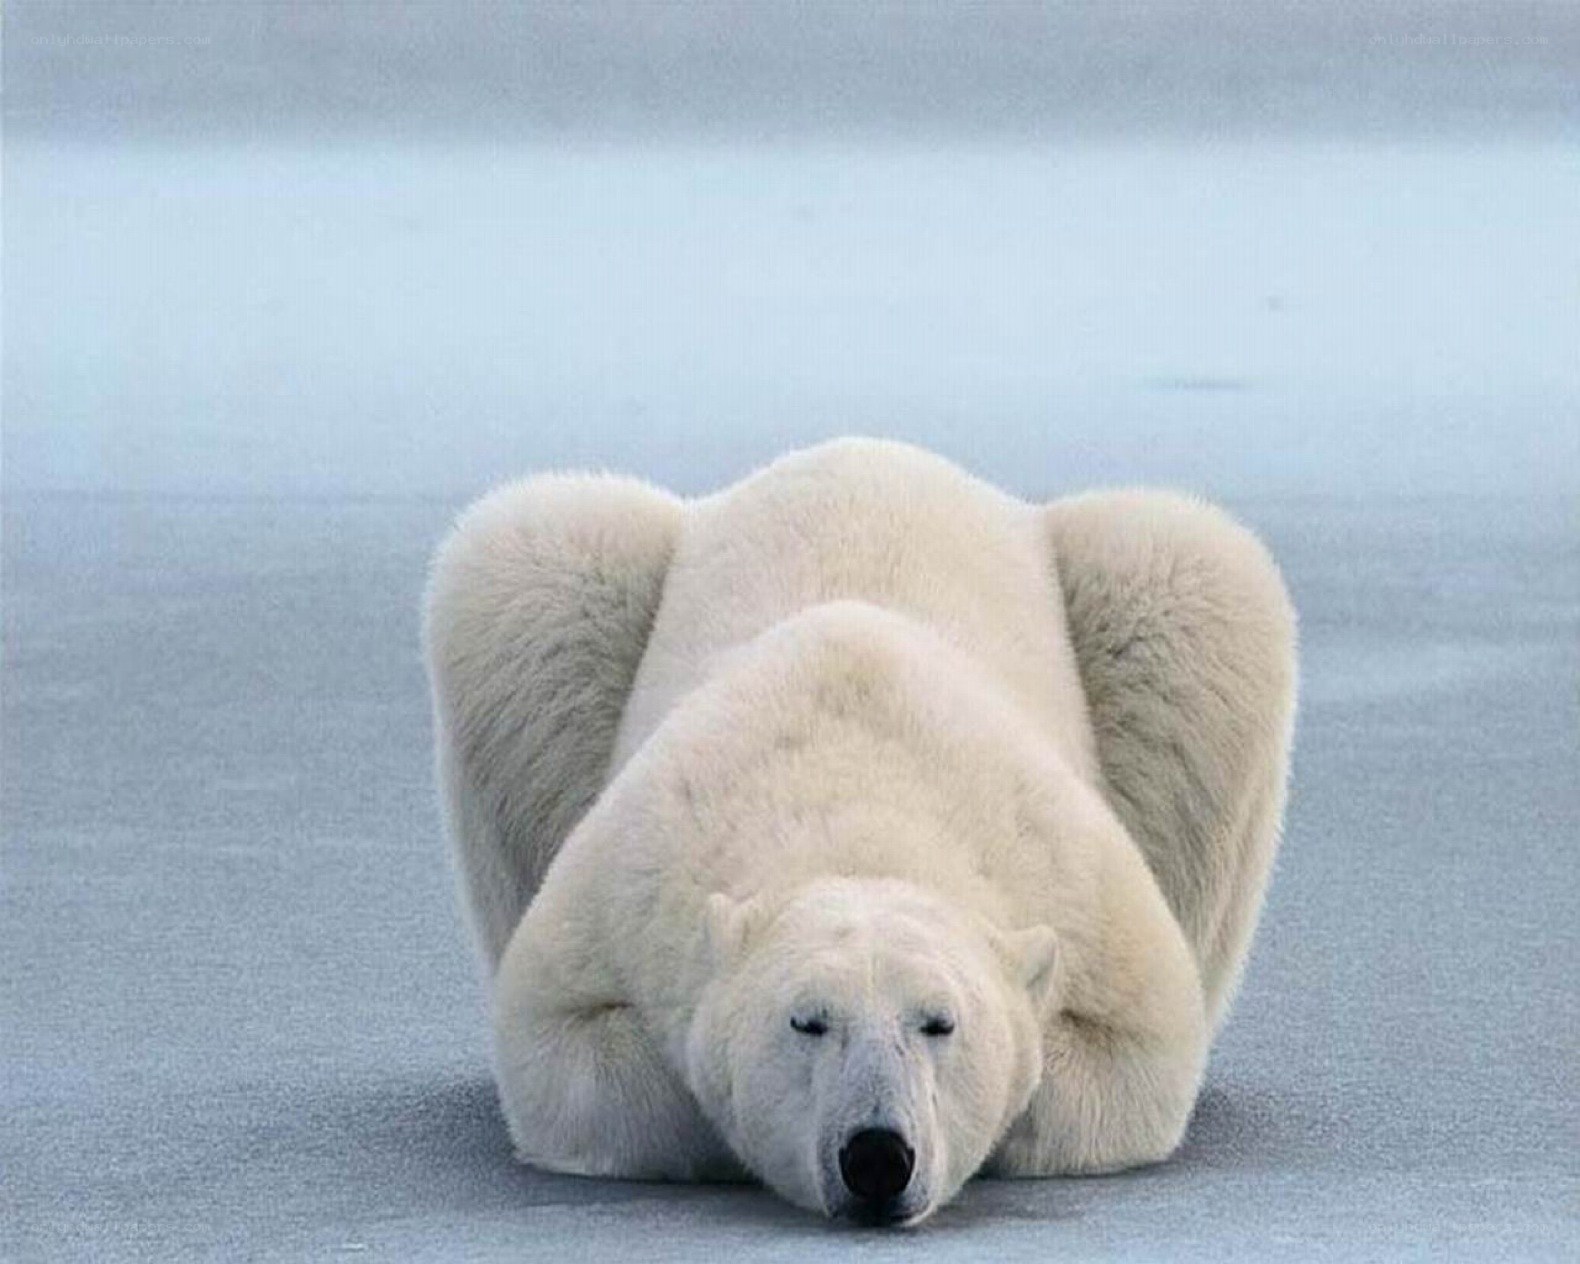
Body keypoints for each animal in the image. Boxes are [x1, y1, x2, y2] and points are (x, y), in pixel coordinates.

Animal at [422, 437, 1297, 1224]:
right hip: (570, 600)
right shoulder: (634, 877)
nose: (877, 1155)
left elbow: (1136, 1055)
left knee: (1191, 574)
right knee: (530, 560)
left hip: (1154, 609)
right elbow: (562, 1047)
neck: (861, 809)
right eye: (808, 1020)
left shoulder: (1074, 883)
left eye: (939, 1021)